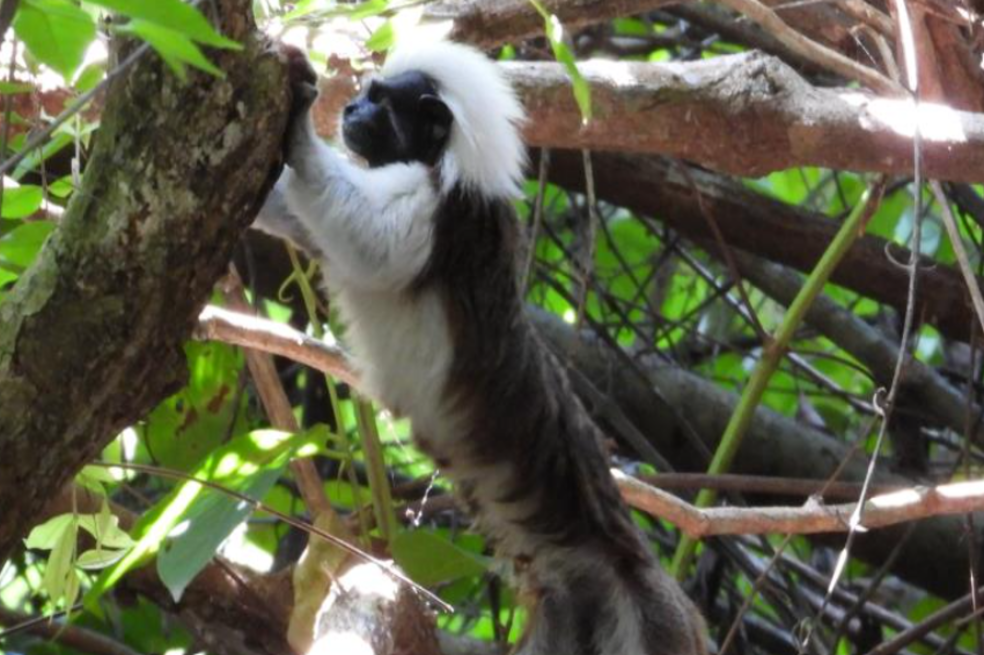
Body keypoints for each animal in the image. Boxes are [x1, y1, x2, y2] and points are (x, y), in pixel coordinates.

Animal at [255, 41, 707, 655]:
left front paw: (300, 128)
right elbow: (297, 221)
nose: (348, 111)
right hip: (568, 616)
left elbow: (370, 238)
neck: (440, 167)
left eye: (379, 103)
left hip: (650, 622)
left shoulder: (443, 219)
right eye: (364, 95)